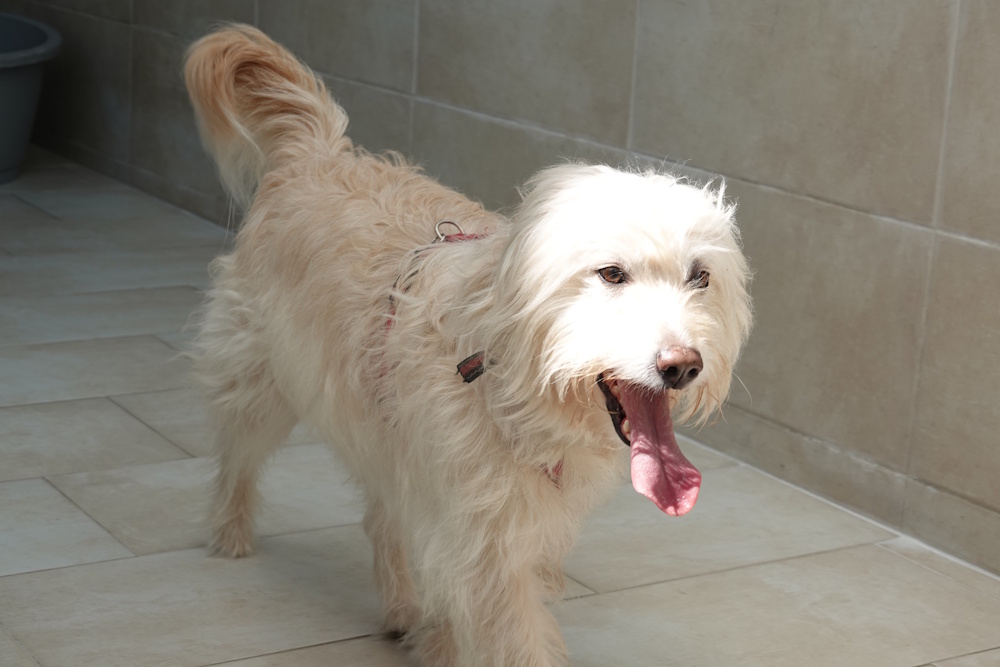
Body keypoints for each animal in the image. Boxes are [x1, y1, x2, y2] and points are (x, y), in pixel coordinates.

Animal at [184, 25, 752, 667]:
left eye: (700, 277)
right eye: (611, 273)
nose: (682, 367)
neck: (506, 379)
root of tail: (319, 153)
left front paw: (438, 635)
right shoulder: (483, 544)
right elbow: (514, 634)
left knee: (384, 517)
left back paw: (403, 609)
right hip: (259, 375)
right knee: (238, 452)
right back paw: (230, 532)